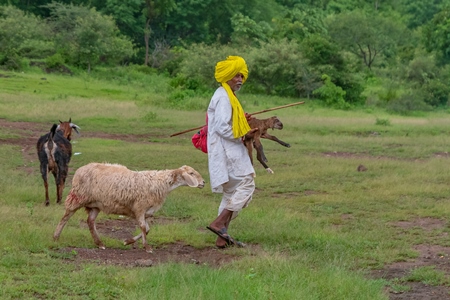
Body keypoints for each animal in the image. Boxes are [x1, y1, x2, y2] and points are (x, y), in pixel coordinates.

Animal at [53, 163, 206, 252]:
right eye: (191, 173)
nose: (204, 183)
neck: (160, 182)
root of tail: (80, 169)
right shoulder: (139, 208)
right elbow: (144, 228)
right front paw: (147, 247)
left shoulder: (145, 212)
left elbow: (147, 229)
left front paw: (128, 241)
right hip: (77, 197)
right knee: (66, 217)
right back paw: (56, 236)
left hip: (96, 204)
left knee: (90, 221)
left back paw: (100, 243)